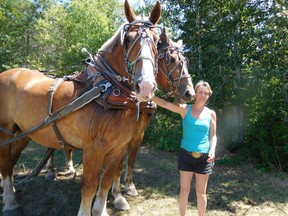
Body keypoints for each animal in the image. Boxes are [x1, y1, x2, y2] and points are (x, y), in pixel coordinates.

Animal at [0, 0, 162, 215]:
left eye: (157, 41)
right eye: (128, 39)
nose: (145, 86)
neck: (106, 89)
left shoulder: (118, 148)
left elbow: (105, 182)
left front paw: (102, 209)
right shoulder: (94, 147)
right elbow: (90, 185)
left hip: (23, 132)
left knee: (11, 162)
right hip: (5, 131)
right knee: (5, 164)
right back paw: (10, 202)